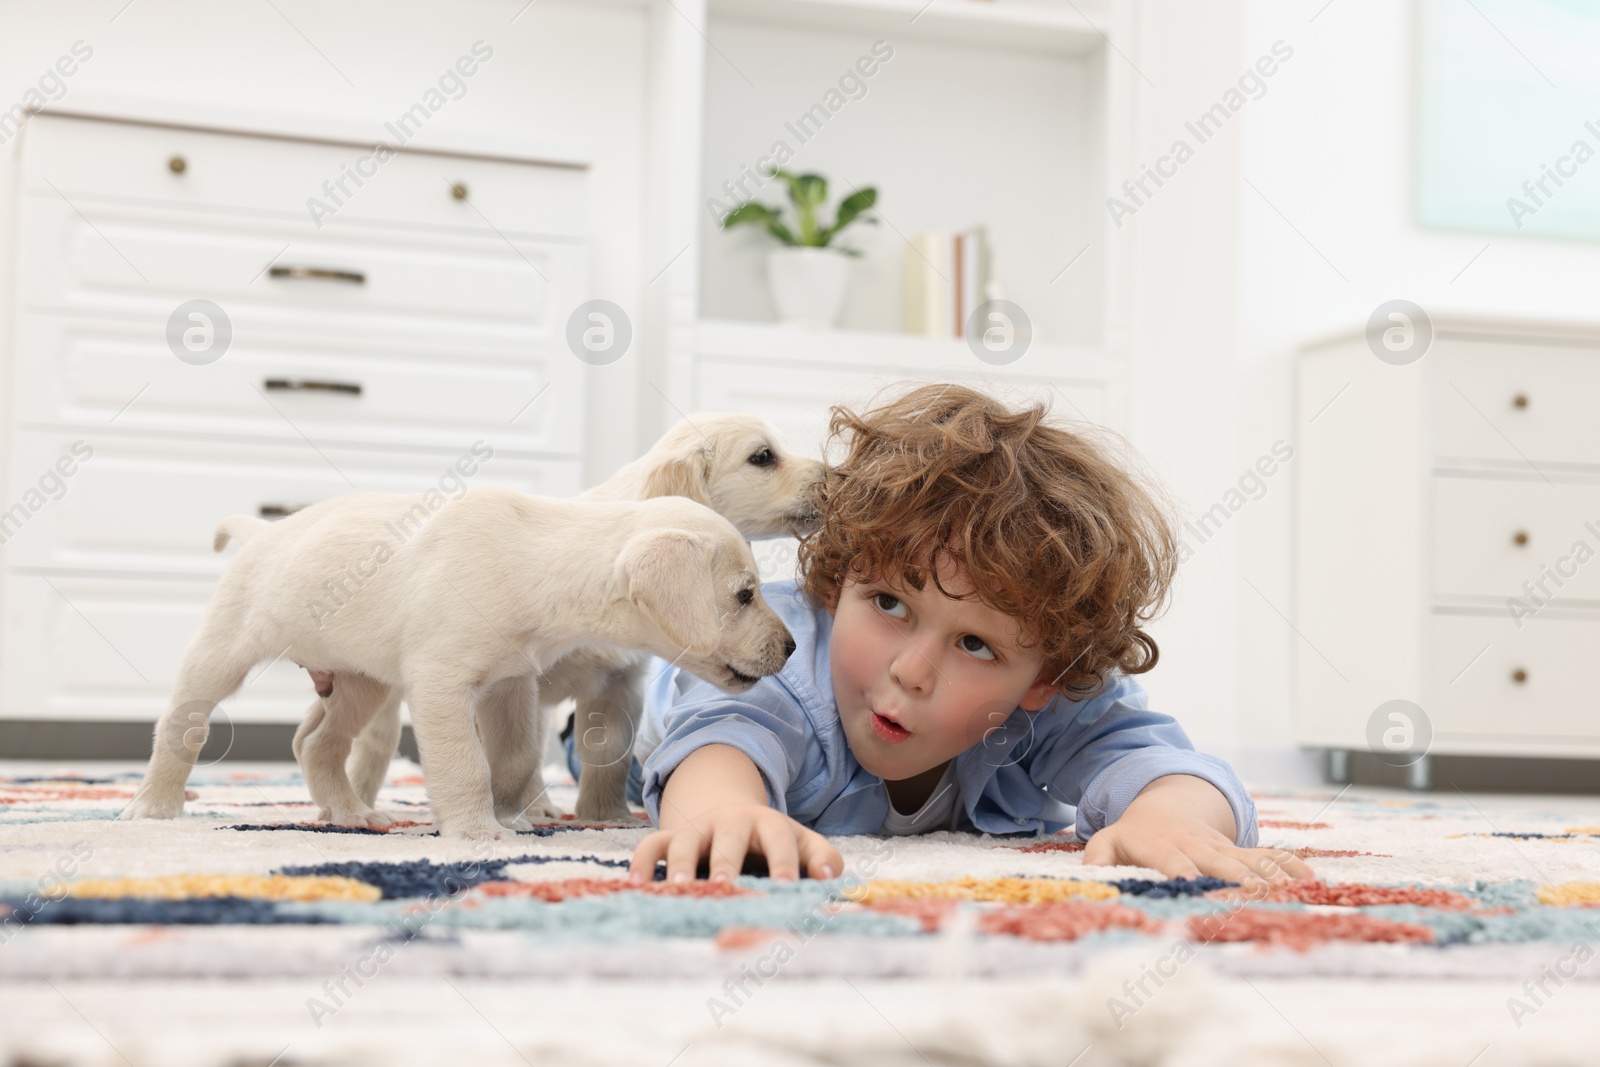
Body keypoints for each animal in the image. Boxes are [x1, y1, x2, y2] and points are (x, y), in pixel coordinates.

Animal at [118, 489, 793, 838]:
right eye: (744, 594)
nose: (788, 647)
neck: (533, 559)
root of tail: (260, 531)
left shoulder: (510, 683)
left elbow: (515, 757)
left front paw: (514, 810)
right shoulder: (440, 684)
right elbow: (465, 763)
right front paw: (476, 828)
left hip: (360, 681)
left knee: (315, 743)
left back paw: (349, 811)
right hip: (222, 653)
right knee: (180, 725)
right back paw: (155, 805)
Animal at [331, 415, 819, 825]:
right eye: (763, 456)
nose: (832, 477)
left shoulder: (619, 684)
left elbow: (607, 754)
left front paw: (605, 817)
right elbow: (511, 752)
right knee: (372, 742)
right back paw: (357, 803)